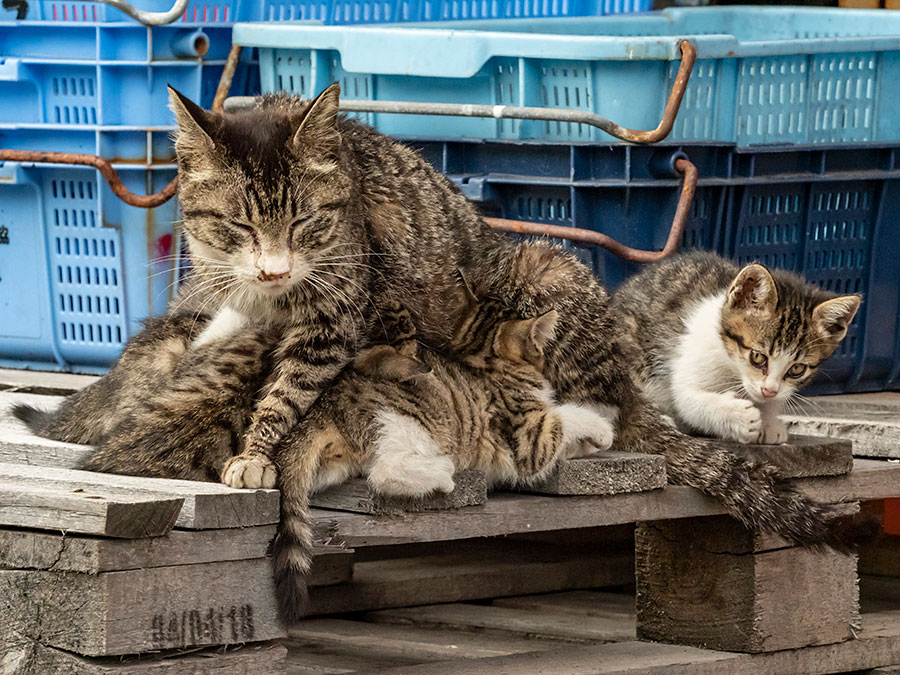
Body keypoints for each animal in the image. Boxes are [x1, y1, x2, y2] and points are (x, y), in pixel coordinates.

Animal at [272, 296, 612, 624]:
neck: (489, 365)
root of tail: (323, 410)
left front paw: (588, 444)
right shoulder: (527, 436)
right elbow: (563, 417)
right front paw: (601, 429)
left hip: (334, 462)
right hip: (409, 420)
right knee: (385, 471)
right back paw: (442, 472)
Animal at [616, 251, 860, 446]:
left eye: (797, 369)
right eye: (757, 357)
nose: (769, 390)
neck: (732, 367)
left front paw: (769, 423)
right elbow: (689, 401)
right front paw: (737, 416)